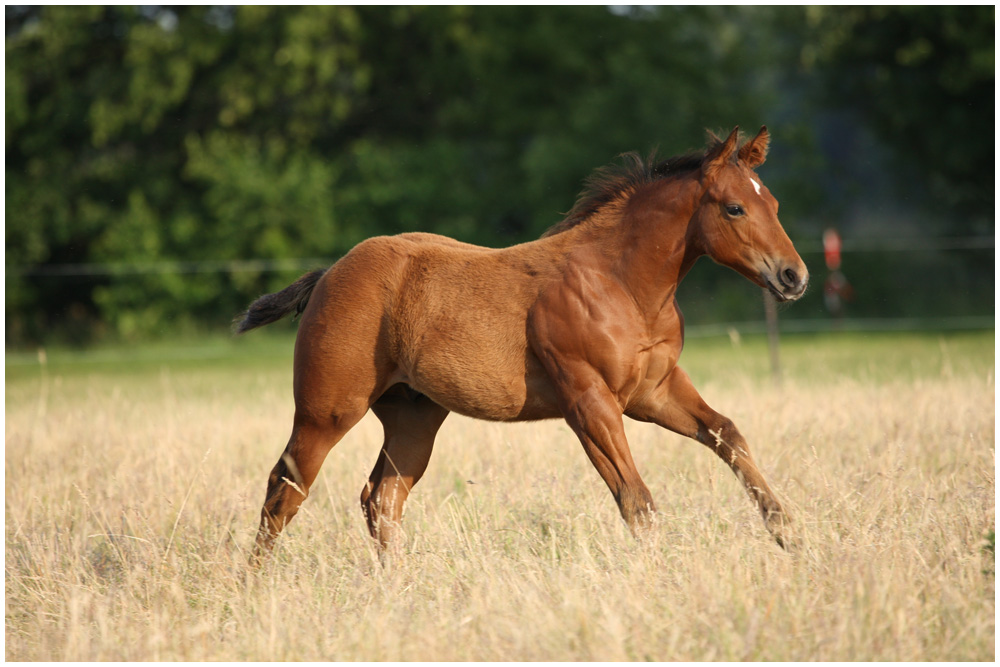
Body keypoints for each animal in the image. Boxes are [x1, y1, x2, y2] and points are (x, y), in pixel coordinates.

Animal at [238, 126, 808, 564]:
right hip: (327, 412)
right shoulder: (589, 402)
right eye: (734, 208)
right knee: (284, 490)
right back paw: (254, 588)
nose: (793, 276)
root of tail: (330, 272)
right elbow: (637, 500)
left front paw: (789, 534)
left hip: (412, 418)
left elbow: (728, 435)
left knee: (381, 498)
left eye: (774, 203)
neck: (620, 284)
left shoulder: (655, 391)